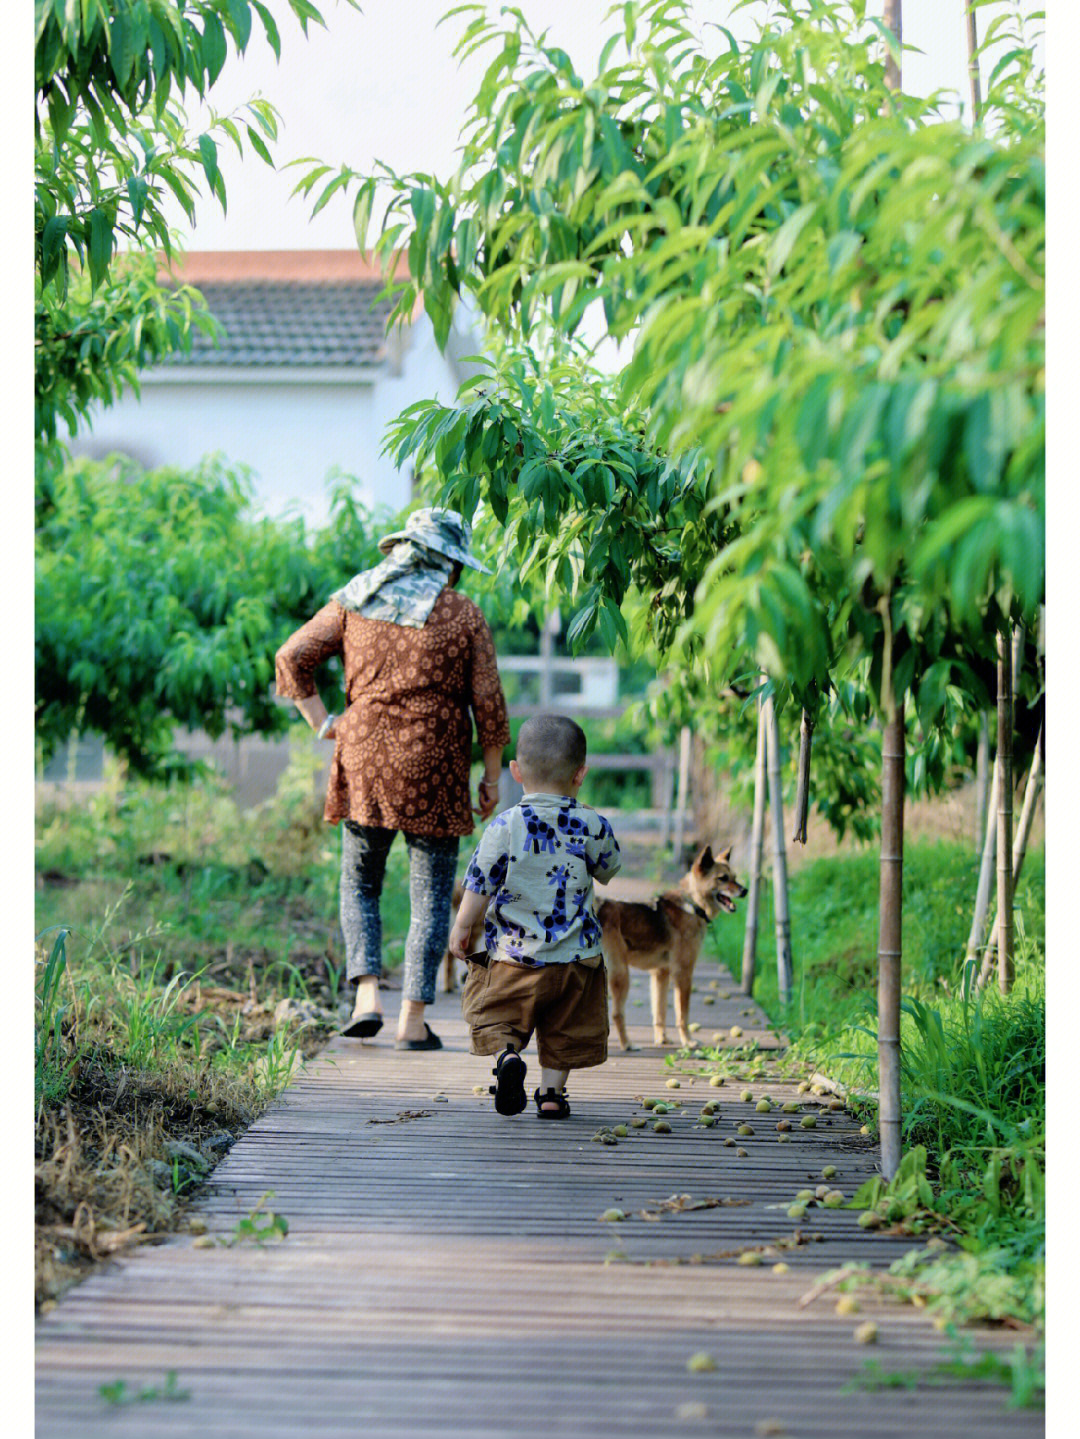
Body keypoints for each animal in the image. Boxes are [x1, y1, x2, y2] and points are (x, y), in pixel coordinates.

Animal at [595, 840, 747, 1047]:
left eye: (735, 877)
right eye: (722, 878)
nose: (745, 891)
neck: (692, 905)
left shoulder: (661, 973)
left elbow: (660, 1012)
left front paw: (662, 1039)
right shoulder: (683, 972)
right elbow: (682, 1014)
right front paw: (688, 1042)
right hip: (621, 974)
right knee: (617, 1014)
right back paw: (628, 1045)